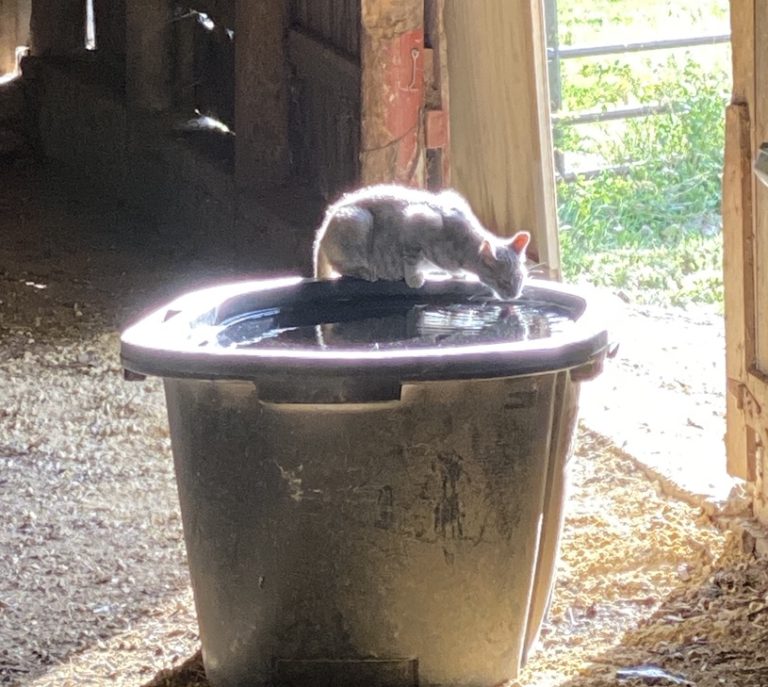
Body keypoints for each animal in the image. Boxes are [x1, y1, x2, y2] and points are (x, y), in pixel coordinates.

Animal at [316, 184, 532, 300]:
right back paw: (367, 272)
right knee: (342, 267)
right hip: (359, 220)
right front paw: (414, 279)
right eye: (503, 281)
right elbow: (411, 260)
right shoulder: (415, 222)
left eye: (520, 278)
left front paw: (457, 275)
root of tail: (322, 229)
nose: (514, 295)